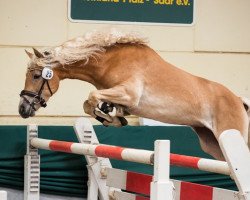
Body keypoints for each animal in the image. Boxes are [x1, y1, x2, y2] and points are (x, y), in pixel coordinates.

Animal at [18, 29, 250, 161]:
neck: (110, 61)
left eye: (37, 76)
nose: (23, 109)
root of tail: (238, 100)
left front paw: (111, 117)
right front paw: (113, 116)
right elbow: (89, 103)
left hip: (228, 135)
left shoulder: (129, 94)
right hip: (211, 143)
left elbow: (92, 96)